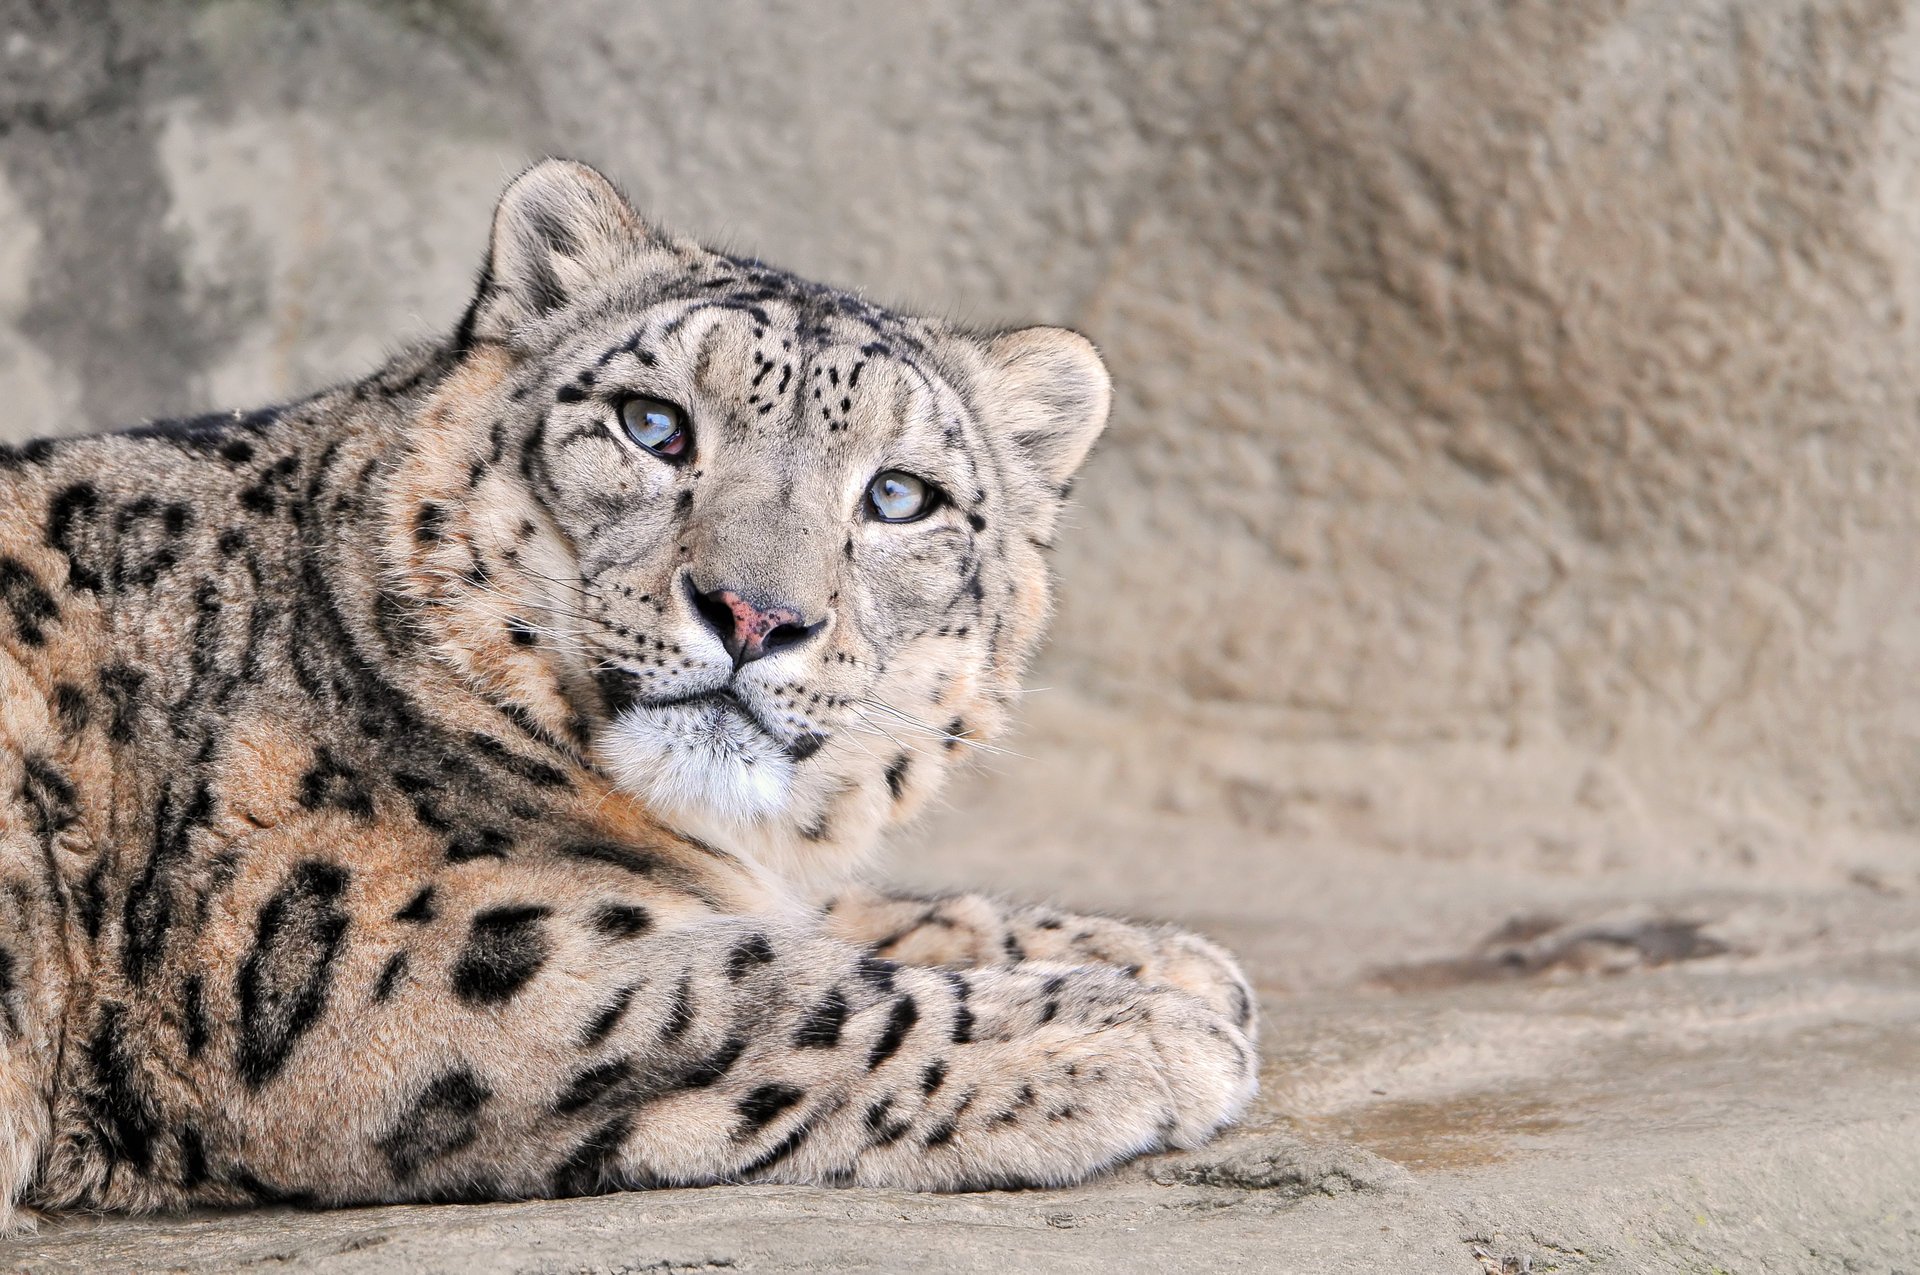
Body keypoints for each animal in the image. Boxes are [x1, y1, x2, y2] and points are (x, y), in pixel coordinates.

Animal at [0, 159, 1257, 1227]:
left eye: (900, 496)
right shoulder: (386, 955)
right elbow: (762, 991)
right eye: (654, 425)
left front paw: (1159, 959)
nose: (754, 613)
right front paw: (1139, 1027)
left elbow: (839, 918)